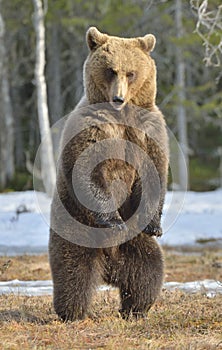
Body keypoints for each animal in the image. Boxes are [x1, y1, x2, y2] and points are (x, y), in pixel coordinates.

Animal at [49, 27, 169, 322]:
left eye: (131, 73)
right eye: (111, 70)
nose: (118, 98)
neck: (122, 116)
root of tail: (109, 266)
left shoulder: (149, 130)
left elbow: (155, 174)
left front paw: (155, 225)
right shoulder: (92, 128)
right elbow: (89, 172)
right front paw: (114, 222)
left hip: (136, 245)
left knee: (147, 272)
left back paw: (135, 309)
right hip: (76, 230)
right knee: (73, 275)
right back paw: (72, 313)